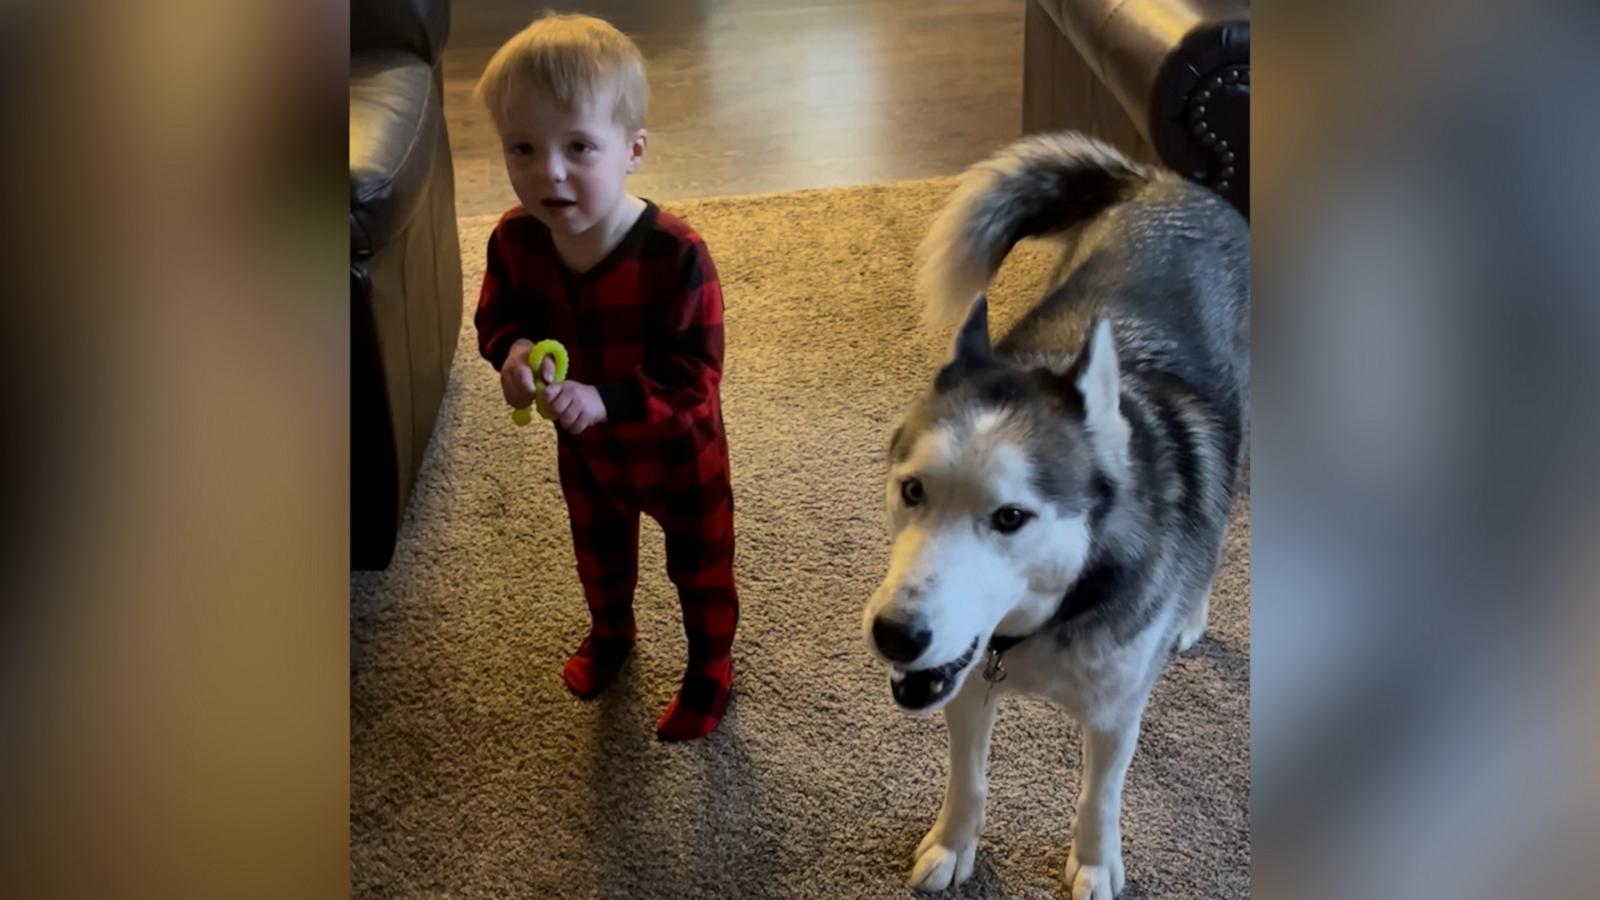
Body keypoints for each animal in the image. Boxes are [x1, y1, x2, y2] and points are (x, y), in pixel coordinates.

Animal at [864, 134, 1248, 896]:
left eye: (1011, 518)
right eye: (912, 491)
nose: (896, 635)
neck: (1045, 625)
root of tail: (1165, 182)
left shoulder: (1116, 712)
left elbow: (1100, 797)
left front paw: (1096, 863)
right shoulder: (964, 683)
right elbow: (969, 780)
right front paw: (954, 844)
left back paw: (1192, 611)